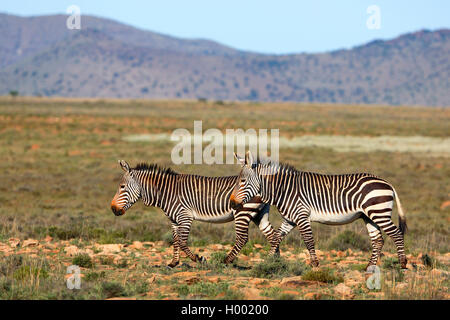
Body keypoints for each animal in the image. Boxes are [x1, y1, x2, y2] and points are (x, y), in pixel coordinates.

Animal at [110, 159, 280, 268]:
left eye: (122, 187)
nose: (113, 209)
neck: (167, 193)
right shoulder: (174, 220)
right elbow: (175, 241)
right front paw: (173, 263)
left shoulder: (185, 217)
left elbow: (183, 242)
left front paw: (199, 259)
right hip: (259, 213)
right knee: (273, 236)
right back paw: (274, 261)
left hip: (243, 211)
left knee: (243, 238)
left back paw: (227, 261)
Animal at [230, 152, 410, 270]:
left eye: (243, 181)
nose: (232, 203)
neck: (285, 190)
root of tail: (387, 183)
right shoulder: (290, 219)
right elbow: (276, 238)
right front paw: (268, 261)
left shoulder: (302, 215)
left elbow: (309, 240)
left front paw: (315, 264)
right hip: (369, 216)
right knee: (378, 240)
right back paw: (369, 266)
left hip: (379, 212)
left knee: (396, 233)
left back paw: (402, 263)